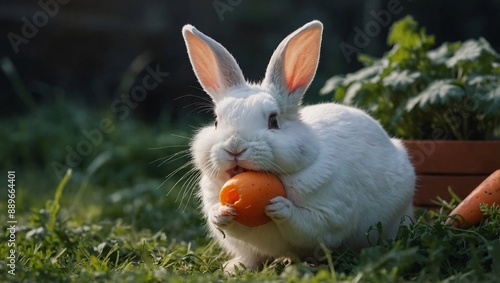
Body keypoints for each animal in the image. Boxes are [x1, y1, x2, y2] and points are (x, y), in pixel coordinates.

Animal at [182, 21, 416, 274]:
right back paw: (235, 267)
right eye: (216, 121)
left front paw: (280, 208)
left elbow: (305, 225)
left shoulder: (330, 215)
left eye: (273, 120)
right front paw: (221, 213)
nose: (235, 147)